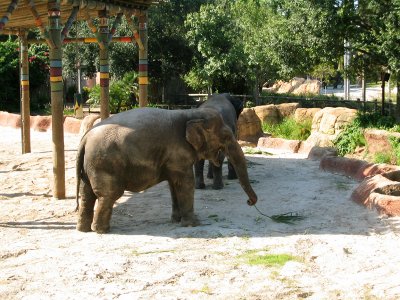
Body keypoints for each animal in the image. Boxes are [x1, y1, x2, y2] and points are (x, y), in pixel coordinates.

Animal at [76, 106, 258, 233]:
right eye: (225, 136)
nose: (249, 202)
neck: (191, 113)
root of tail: (85, 138)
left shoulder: (172, 161)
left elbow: (173, 186)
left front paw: (176, 221)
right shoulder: (179, 154)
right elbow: (185, 183)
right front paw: (193, 224)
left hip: (91, 165)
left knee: (87, 194)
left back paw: (84, 229)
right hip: (105, 164)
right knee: (108, 195)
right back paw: (102, 230)